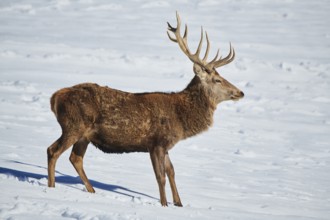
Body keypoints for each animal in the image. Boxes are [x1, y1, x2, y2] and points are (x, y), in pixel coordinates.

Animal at [46, 12, 244, 207]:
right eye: (217, 80)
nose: (240, 92)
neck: (180, 117)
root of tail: (54, 98)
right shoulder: (156, 142)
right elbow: (160, 176)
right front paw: (163, 205)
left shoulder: (165, 145)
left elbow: (171, 171)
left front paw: (179, 203)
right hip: (73, 125)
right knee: (53, 150)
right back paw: (51, 187)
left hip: (84, 135)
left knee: (75, 158)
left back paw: (91, 190)